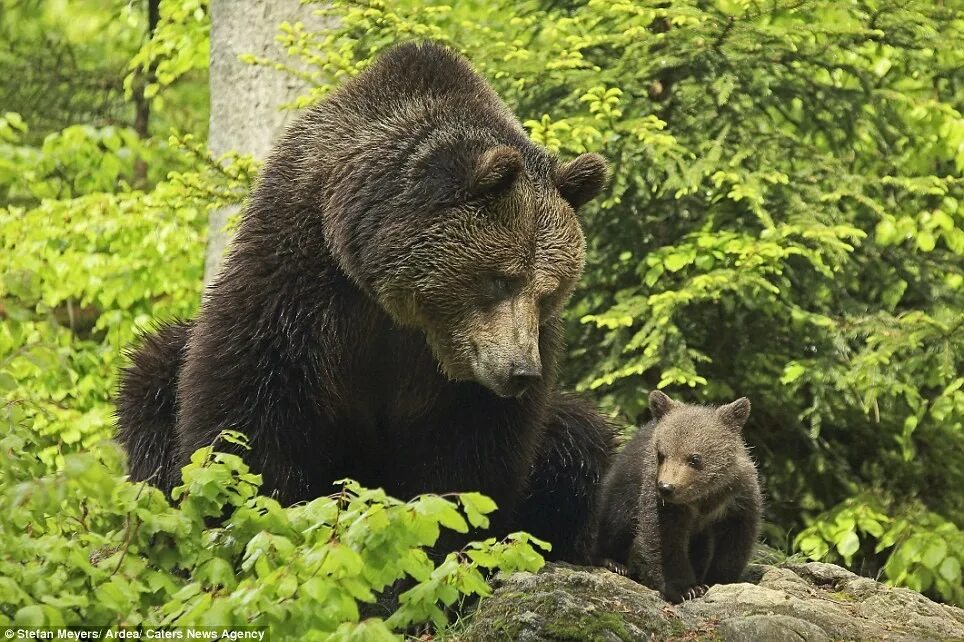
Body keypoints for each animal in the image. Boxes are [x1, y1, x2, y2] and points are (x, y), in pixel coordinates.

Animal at [116, 41, 612, 560]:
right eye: (500, 280)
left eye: (548, 291)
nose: (520, 371)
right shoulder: (305, 276)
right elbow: (252, 397)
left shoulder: (469, 377)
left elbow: (471, 450)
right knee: (152, 375)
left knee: (580, 438)